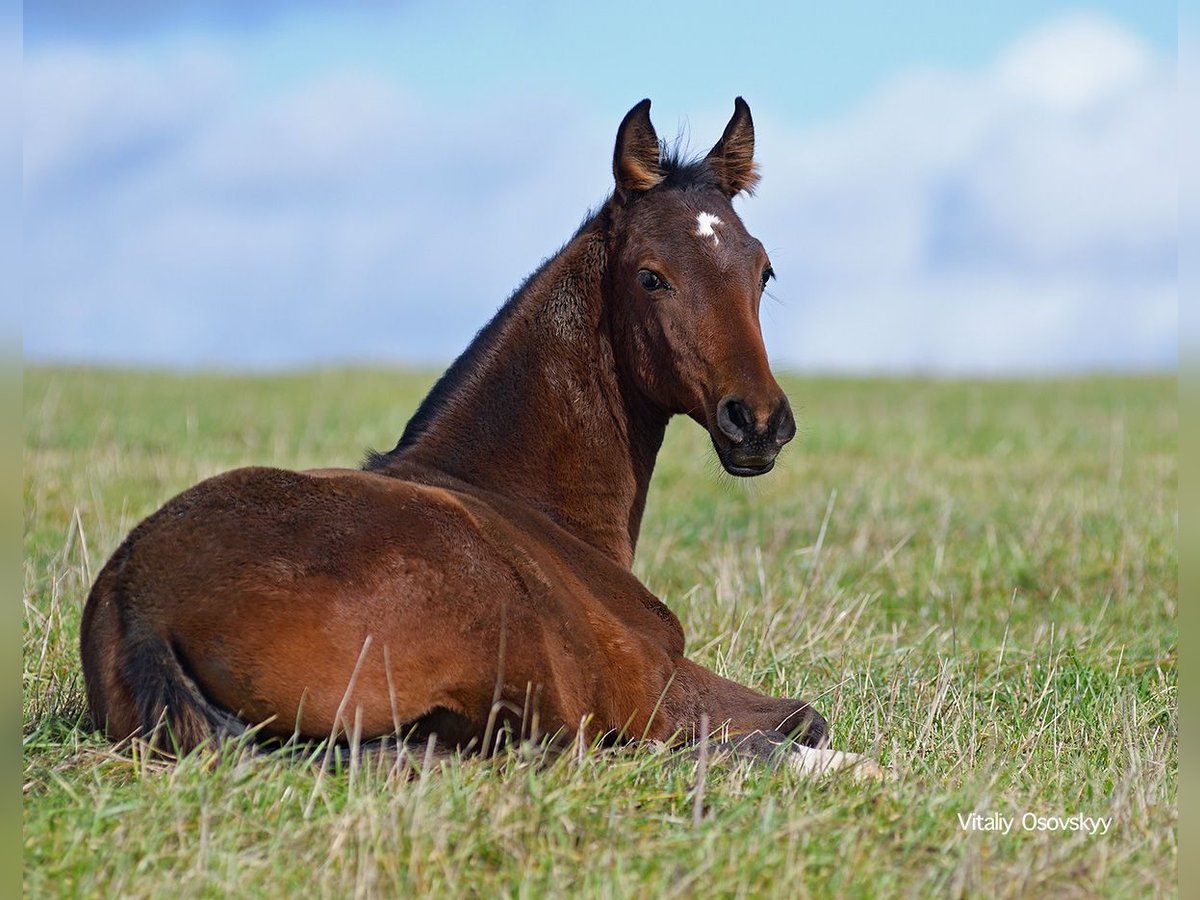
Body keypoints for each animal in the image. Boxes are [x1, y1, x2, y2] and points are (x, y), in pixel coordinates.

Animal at [77, 95, 883, 777]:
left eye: (764, 271)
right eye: (651, 277)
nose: (758, 422)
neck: (529, 502)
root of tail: (140, 603)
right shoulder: (655, 684)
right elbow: (801, 717)